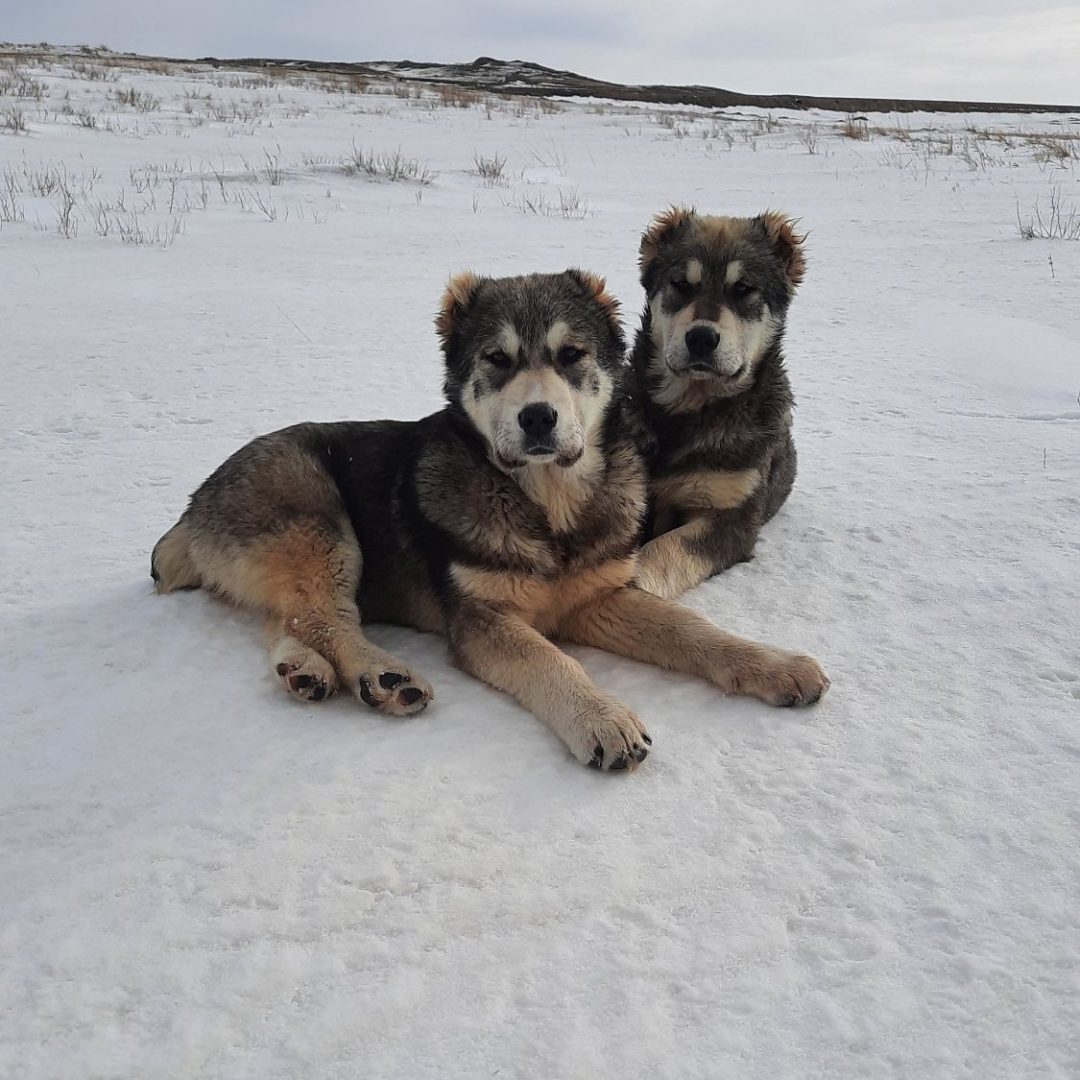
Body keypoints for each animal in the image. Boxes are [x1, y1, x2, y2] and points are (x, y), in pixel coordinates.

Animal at [152, 274, 825, 773]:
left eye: (571, 355)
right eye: (498, 360)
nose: (537, 417)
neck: (548, 507)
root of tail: (193, 504)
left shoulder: (599, 594)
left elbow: (692, 630)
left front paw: (775, 665)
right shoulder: (482, 616)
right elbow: (549, 661)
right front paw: (601, 718)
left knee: (287, 618)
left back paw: (305, 671)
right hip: (317, 521)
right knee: (323, 615)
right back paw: (380, 674)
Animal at [630, 207, 807, 600]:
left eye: (743, 289)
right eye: (681, 285)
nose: (700, 338)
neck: (692, 409)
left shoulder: (732, 514)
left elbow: (666, 550)